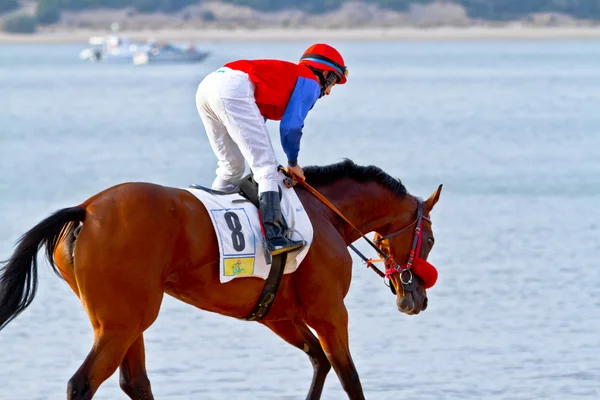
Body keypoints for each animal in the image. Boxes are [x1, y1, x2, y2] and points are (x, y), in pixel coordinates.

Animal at [0, 159, 440, 400]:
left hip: (125, 321)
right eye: (431, 240)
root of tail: (86, 209)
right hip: (121, 322)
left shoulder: (278, 316)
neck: (323, 213)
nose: (415, 299)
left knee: (134, 382)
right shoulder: (330, 312)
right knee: (83, 384)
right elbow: (348, 377)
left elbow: (319, 361)